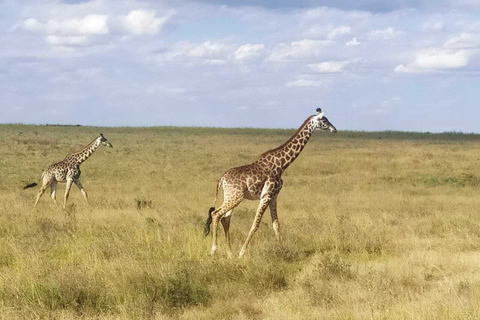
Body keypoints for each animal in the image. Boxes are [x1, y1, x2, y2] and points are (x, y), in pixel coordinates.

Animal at [204, 107, 336, 258]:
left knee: (225, 219)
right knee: (216, 214)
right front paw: (242, 253)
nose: (334, 129)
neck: (282, 164)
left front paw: (282, 249)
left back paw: (230, 253)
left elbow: (276, 224)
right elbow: (255, 224)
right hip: (236, 197)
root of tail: (222, 179)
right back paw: (214, 249)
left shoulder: (274, 196)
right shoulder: (266, 195)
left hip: (230, 196)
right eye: (324, 120)